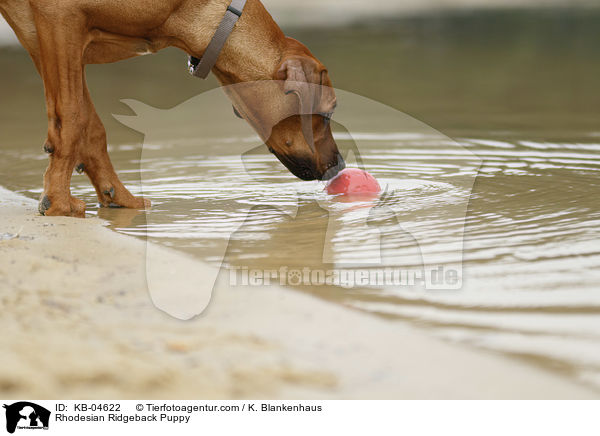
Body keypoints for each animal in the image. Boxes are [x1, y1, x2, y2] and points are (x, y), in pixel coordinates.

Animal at [0, 0, 344, 217]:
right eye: (328, 112)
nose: (339, 166)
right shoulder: (58, 18)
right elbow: (72, 117)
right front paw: (58, 203)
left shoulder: (45, 37)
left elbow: (90, 125)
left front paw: (118, 196)